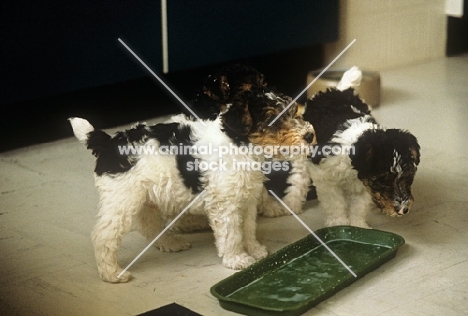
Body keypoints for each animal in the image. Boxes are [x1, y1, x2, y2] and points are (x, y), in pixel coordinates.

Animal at [68, 80, 314, 282]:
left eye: (294, 111)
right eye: (272, 118)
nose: (310, 135)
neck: (239, 143)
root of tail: (107, 143)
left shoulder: (247, 199)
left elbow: (248, 228)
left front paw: (254, 250)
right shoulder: (225, 205)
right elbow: (232, 234)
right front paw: (237, 259)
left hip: (144, 198)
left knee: (149, 225)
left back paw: (170, 243)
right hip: (121, 200)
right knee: (103, 236)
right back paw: (112, 273)